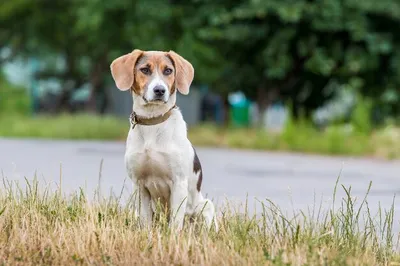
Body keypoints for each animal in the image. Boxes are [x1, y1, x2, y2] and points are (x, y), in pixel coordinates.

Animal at [110, 49, 219, 231]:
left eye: (168, 70)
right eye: (145, 70)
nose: (160, 90)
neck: (153, 122)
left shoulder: (179, 183)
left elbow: (175, 223)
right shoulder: (139, 185)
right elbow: (145, 221)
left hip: (205, 206)